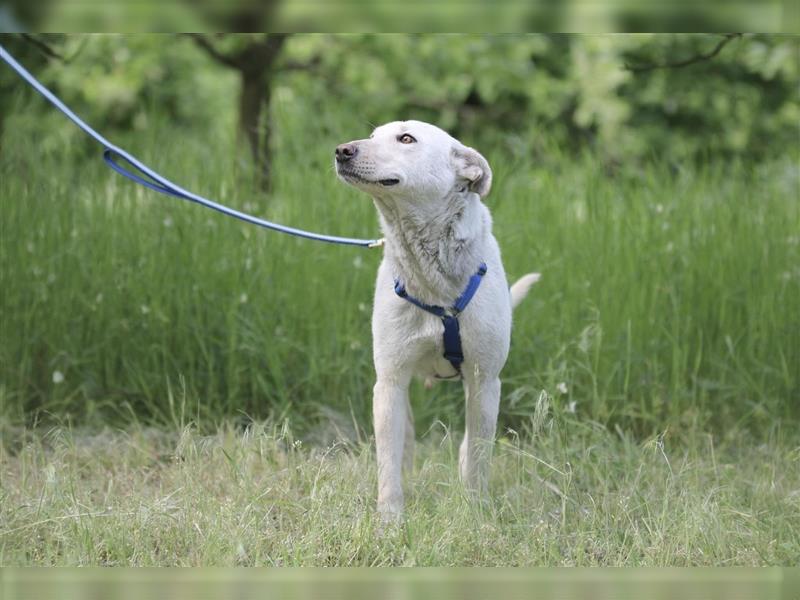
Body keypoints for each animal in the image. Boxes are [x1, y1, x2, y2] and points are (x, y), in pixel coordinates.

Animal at [334, 120, 536, 520]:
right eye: (373, 135)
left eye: (406, 138)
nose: (342, 150)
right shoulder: (390, 382)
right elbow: (388, 461)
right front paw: (390, 520)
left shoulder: (485, 381)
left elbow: (477, 456)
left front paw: (475, 514)